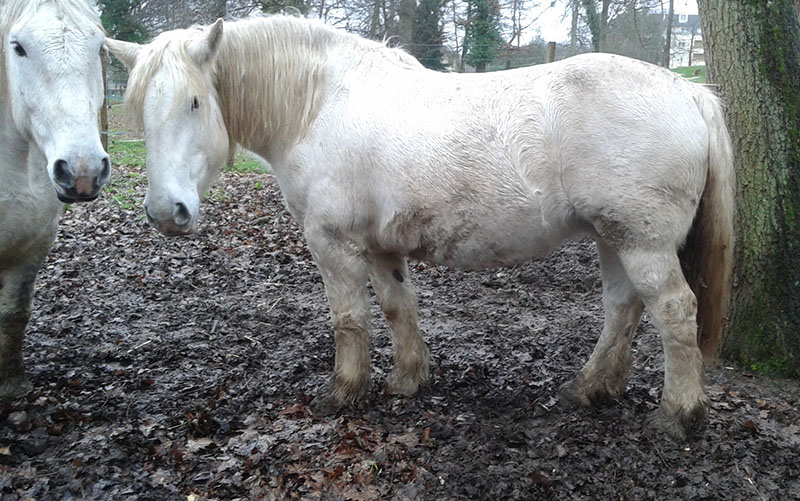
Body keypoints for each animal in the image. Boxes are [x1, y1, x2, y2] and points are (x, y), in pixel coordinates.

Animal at [0, 0, 110, 398]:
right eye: (18, 47)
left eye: (99, 46)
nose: (82, 172)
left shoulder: (33, 246)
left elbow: (14, 313)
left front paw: (11, 384)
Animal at [109, 14, 736, 438]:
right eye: (140, 110)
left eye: (194, 102)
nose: (166, 212)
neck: (319, 104)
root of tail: (689, 91)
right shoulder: (380, 246)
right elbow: (396, 308)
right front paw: (409, 379)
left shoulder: (331, 243)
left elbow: (350, 319)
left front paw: (345, 391)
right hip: (614, 237)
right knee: (623, 310)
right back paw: (590, 389)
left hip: (642, 242)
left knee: (673, 312)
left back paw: (678, 414)